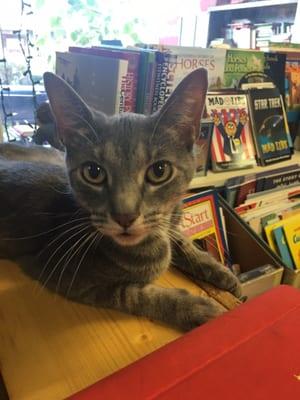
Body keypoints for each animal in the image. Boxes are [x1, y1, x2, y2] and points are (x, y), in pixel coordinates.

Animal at [0, 69, 240, 332]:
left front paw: (221, 272)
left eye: (159, 171)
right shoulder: (63, 275)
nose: (125, 216)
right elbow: (135, 295)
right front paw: (199, 308)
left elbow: (181, 238)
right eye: (93, 172)